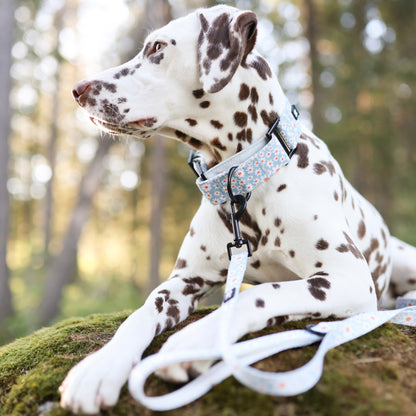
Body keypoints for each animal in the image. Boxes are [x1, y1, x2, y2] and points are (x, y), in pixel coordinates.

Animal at [59, 4, 416, 414]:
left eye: (157, 47)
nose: (77, 89)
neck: (246, 178)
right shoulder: (184, 281)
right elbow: (142, 311)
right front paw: (100, 366)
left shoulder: (348, 278)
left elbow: (255, 294)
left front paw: (193, 342)